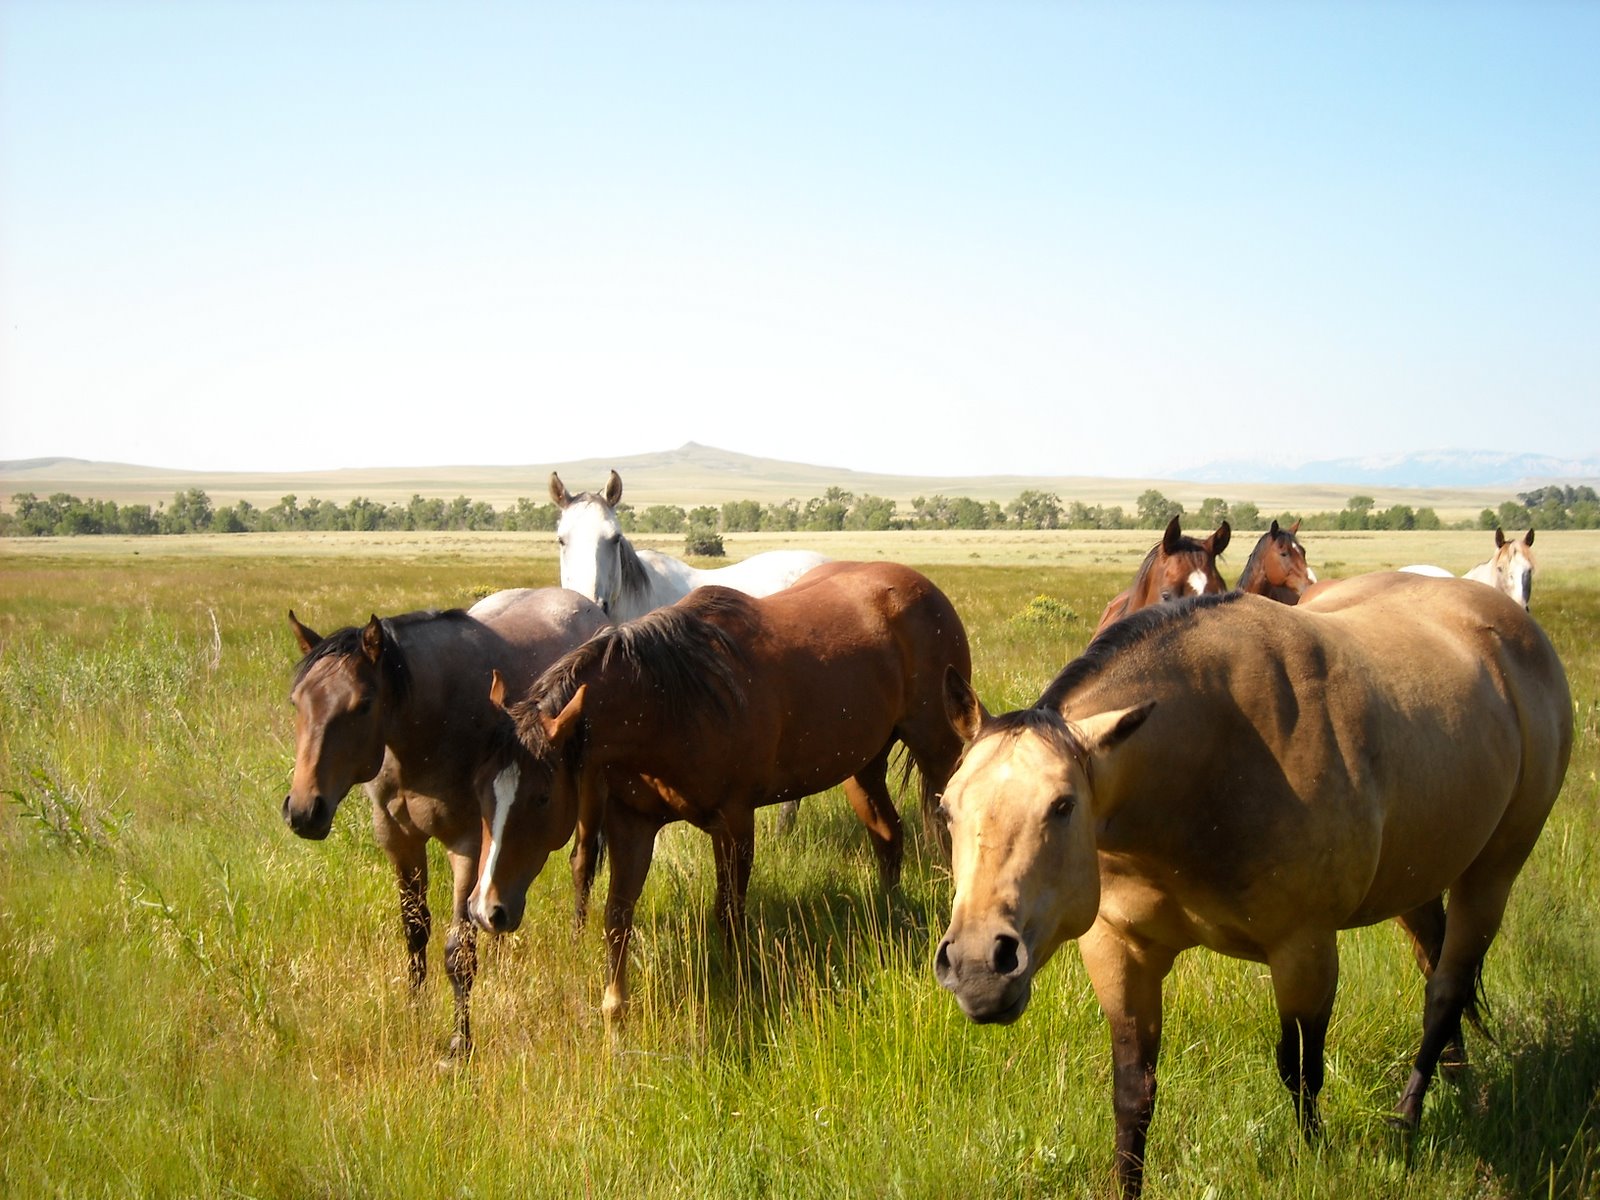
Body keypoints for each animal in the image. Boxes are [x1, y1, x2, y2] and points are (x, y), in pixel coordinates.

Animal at [283, 587, 612, 1055]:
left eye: (362, 705)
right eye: (297, 701)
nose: (303, 810)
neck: (428, 728)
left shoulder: (468, 846)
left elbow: (459, 952)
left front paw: (460, 1040)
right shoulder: (399, 839)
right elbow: (415, 930)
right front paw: (414, 1010)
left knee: (581, 865)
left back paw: (575, 941)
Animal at [467, 560, 971, 1021]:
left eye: (542, 797)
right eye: (481, 793)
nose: (485, 910)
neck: (672, 700)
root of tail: (923, 588)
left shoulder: (733, 823)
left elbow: (728, 912)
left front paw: (740, 984)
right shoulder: (632, 825)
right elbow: (617, 916)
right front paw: (614, 1014)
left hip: (939, 749)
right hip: (862, 766)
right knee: (888, 834)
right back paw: (889, 916)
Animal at [934, 573, 1571, 1198]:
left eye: (1063, 806)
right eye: (947, 807)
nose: (978, 966)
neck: (1212, 759)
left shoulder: (1304, 949)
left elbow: (1301, 1070)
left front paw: (1316, 1159)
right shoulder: (1119, 949)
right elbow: (1133, 1091)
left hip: (1492, 874)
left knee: (1444, 992)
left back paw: (1405, 1125)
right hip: (1420, 879)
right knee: (1436, 968)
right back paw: (1457, 1086)